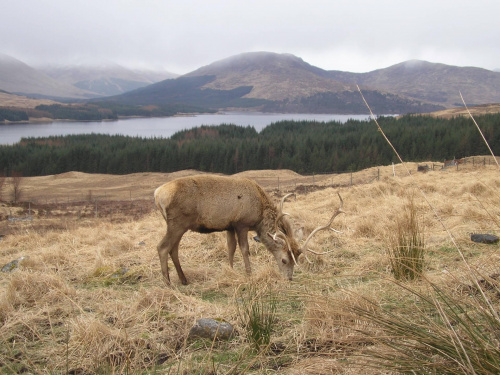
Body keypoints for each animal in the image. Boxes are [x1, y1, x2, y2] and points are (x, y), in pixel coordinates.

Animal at [154, 176, 346, 284]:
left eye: (297, 259)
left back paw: (183, 279)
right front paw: (249, 273)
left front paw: (231, 271)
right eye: (284, 260)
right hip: (177, 222)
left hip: (179, 225)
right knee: (162, 247)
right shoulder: (241, 224)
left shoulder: (229, 226)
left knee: (173, 249)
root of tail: (157, 194)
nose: (289, 278)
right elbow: (244, 249)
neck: (259, 214)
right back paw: (167, 283)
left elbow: (230, 248)